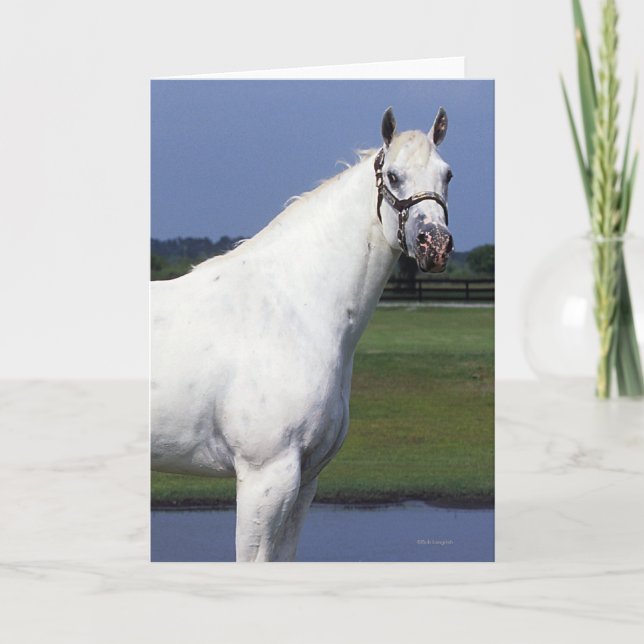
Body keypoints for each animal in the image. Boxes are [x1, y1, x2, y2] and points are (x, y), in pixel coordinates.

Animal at [151, 107, 454, 562]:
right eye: (394, 176)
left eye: (447, 174)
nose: (434, 244)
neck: (293, 307)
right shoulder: (266, 477)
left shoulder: (306, 479)